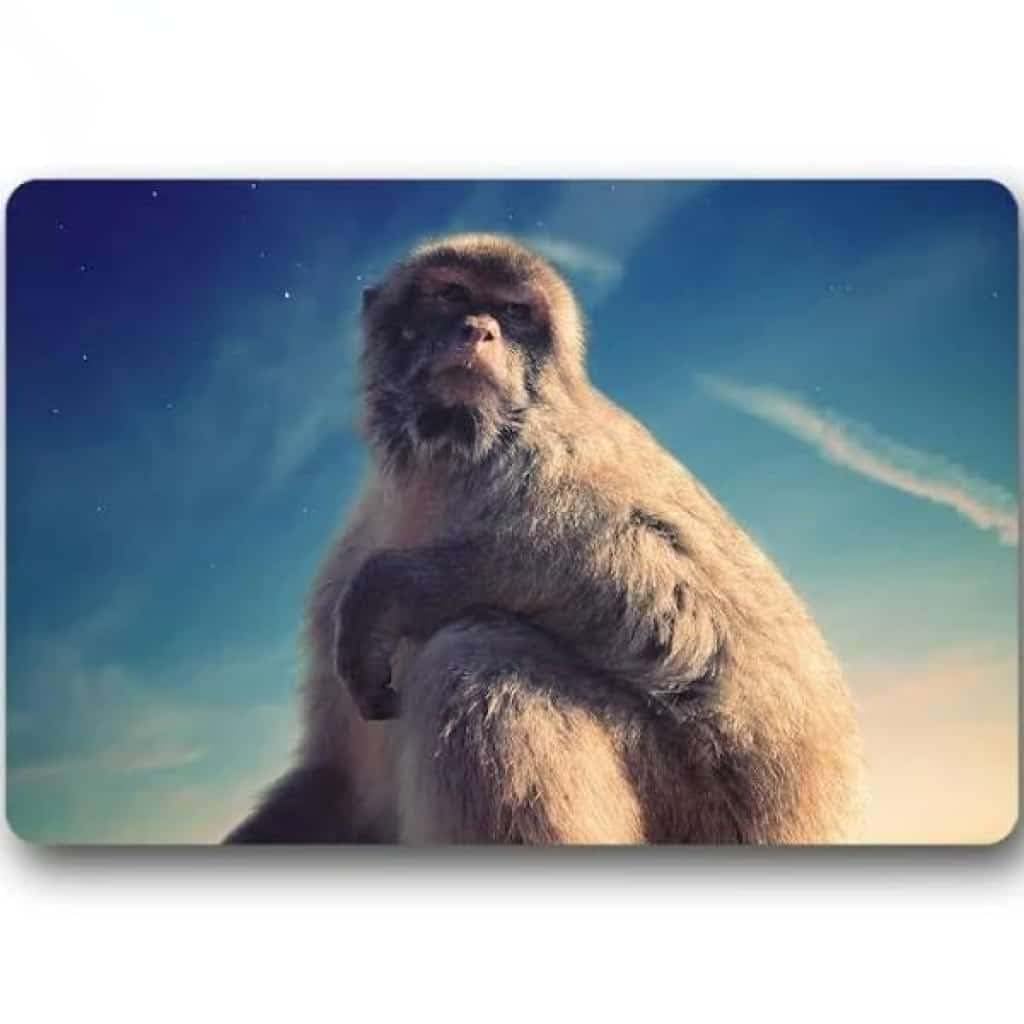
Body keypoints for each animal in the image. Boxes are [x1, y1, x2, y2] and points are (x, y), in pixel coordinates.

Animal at [225, 232, 864, 844]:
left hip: (697, 807)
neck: (442, 462)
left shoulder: (558, 452)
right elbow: (334, 777)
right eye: (451, 294)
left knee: (477, 651)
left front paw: (400, 585)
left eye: (513, 311)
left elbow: (688, 610)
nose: (479, 331)